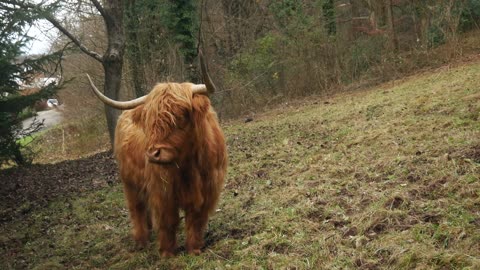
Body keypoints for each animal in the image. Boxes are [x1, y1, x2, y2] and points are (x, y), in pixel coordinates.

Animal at [86, 54, 227, 258]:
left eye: (181, 116)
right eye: (150, 121)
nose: (153, 154)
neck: (189, 166)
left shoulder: (208, 189)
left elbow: (196, 220)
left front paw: (194, 249)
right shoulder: (162, 192)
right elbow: (168, 221)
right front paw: (167, 253)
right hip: (129, 182)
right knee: (137, 209)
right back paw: (141, 241)